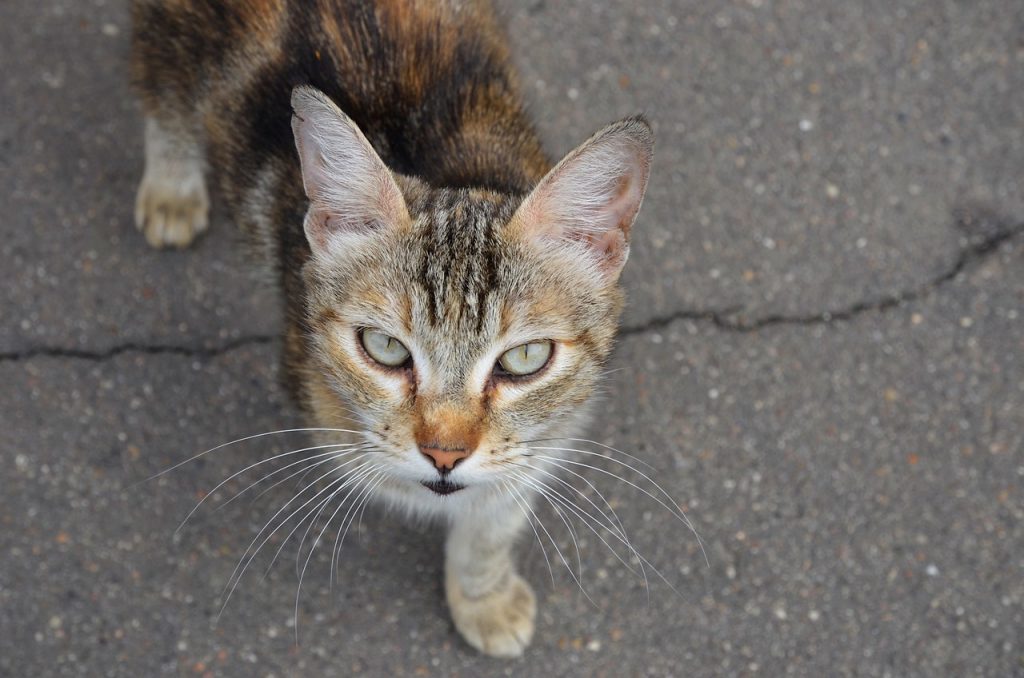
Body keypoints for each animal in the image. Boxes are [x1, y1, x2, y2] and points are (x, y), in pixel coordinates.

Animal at [132, 0, 651, 659]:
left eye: (525, 358)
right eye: (384, 348)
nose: (445, 454)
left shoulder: (550, 431)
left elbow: (499, 508)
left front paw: (482, 594)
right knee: (160, 86)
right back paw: (171, 187)